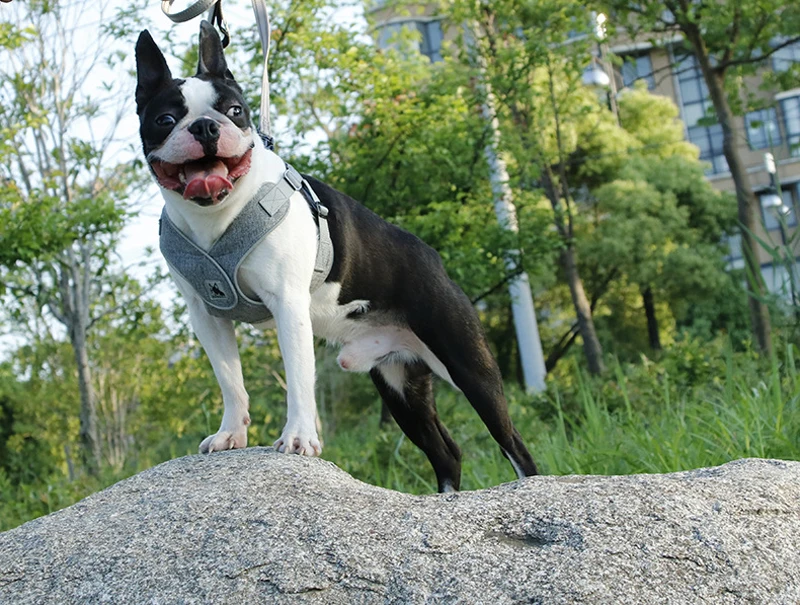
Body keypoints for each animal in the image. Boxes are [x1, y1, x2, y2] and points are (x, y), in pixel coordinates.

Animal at [136, 22, 536, 490]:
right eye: (165, 120)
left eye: (235, 111)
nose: (204, 127)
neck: (217, 215)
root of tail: (433, 259)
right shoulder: (207, 316)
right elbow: (230, 380)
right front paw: (230, 434)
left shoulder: (288, 306)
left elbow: (297, 379)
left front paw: (298, 439)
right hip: (400, 386)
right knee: (446, 452)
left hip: (469, 366)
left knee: (512, 442)